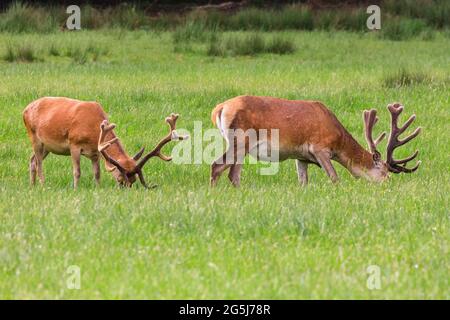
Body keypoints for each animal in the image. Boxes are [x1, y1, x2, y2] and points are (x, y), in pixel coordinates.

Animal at [22, 97, 185, 188]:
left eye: (134, 180)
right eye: (120, 179)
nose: (126, 190)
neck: (94, 131)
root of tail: (25, 109)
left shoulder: (96, 152)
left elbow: (97, 173)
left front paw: (98, 189)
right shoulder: (74, 144)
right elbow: (77, 171)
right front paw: (75, 189)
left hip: (46, 147)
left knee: (32, 160)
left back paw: (32, 186)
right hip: (34, 136)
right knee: (39, 163)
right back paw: (43, 185)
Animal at [211, 95, 422, 186]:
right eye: (384, 170)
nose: (388, 183)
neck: (338, 141)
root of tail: (219, 108)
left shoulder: (301, 156)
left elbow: (303, 181)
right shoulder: (320, 147)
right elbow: (334, 177)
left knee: (227, 171)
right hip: (241, 139)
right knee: (221, 167)